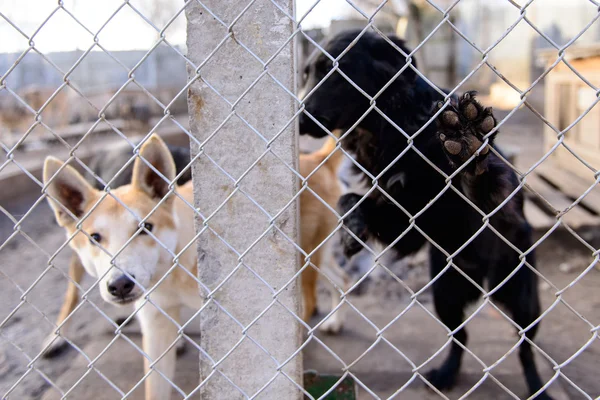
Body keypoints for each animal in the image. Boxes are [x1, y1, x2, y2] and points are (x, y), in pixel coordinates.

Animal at [300, 30, 552, 400]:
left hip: (522, 296)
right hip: (445, 293)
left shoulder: (497, 208)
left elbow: (481, 187)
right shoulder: (405, 224)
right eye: (306, 74)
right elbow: (349, 198)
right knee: (460, 336)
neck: (391, 128)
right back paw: (446, 374)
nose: (300, 119)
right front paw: (351, 232)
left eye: (336, 70)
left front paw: (467, 145)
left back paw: (537, 387)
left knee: (525, 348)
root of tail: (480, 278)